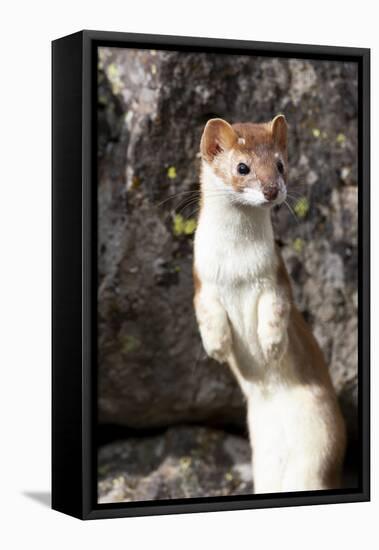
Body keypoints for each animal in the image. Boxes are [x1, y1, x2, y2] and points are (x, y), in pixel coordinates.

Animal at [194, 116, 346, 496]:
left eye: (280, 164)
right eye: (242, 167)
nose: (272, 190)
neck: (235, 267)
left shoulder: (274, 277)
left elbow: (275, 311)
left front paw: (272, 347)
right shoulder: (202, 280)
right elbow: (207, 314)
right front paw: (218, 346)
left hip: (320, 444)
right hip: (264, 461)